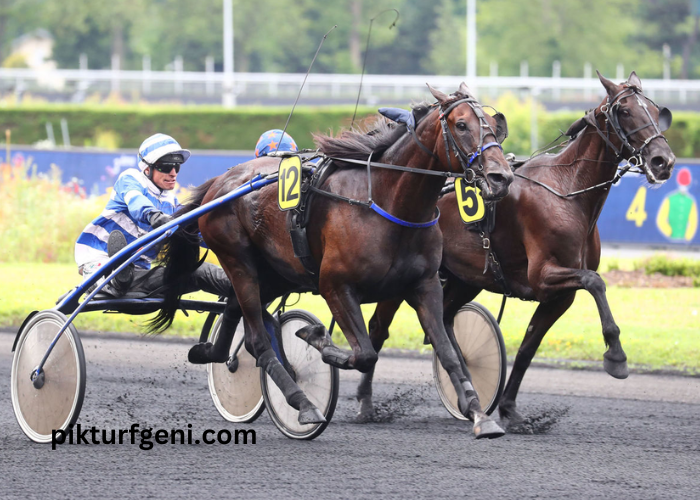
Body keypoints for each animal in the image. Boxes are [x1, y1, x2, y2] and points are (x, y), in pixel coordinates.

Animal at [152, 84, 516, 440]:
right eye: (462, 125)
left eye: (494, 125)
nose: (501, 177)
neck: (387, 203)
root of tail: (220, 182)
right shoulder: (334, 285)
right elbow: (364, 353)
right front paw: (317, 338)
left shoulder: (424, 285)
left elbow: (448, 352)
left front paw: (479, 414)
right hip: (237, 259)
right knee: (257, 340)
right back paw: (303, 404)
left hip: (276, 272)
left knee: (234, 309)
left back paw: (212, 353)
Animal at [358, 71, 676, 430]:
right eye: (624, 111)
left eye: (655, 110)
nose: (663, 161)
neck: (567, 191)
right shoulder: (544, 275)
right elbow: (596, 282)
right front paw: (616, 356)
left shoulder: (559, 295)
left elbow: (528, 348)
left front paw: (509, 409)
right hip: (405, 277)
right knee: (379, 328)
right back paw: (366, 403)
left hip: (464, 278)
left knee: (445, 319)